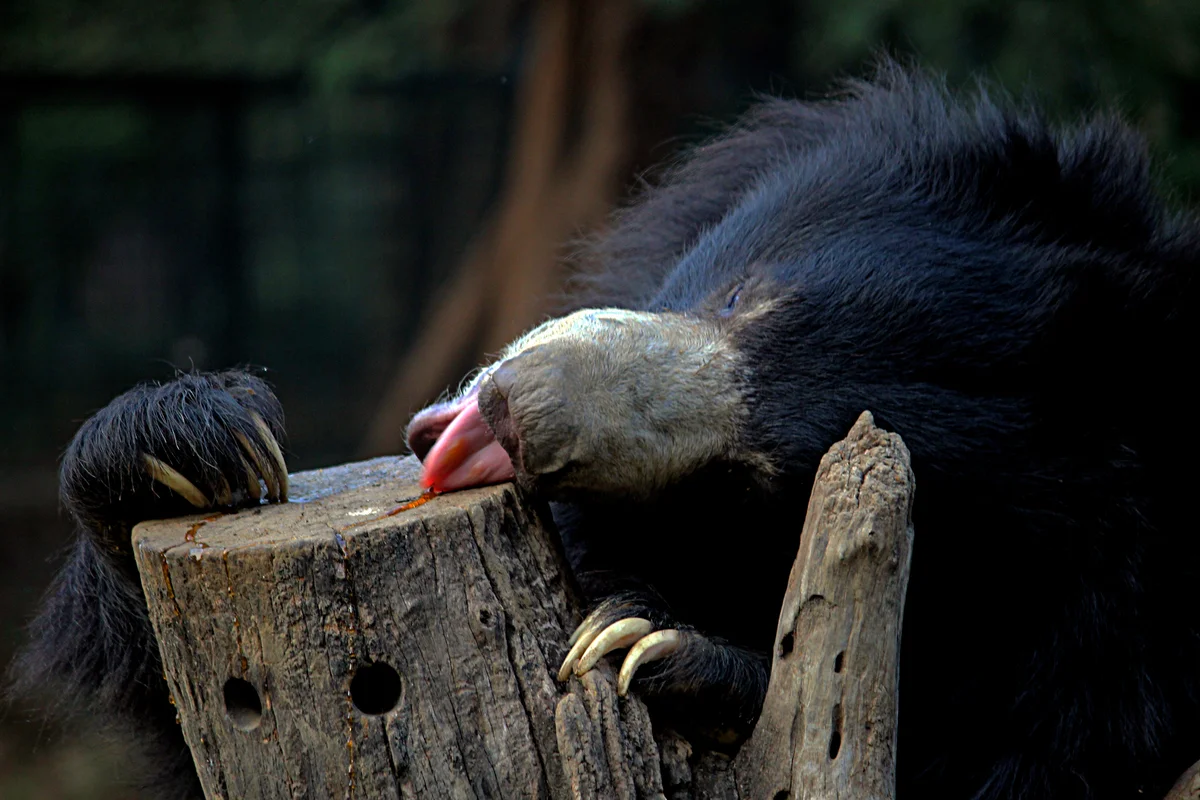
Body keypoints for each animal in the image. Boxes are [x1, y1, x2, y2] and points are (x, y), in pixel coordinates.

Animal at [11, 65, 1200, 796]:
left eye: (759, 484)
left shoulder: (1091, 690)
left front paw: (652, 647)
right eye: (746, 296)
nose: (505, 417)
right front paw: (190, 442)